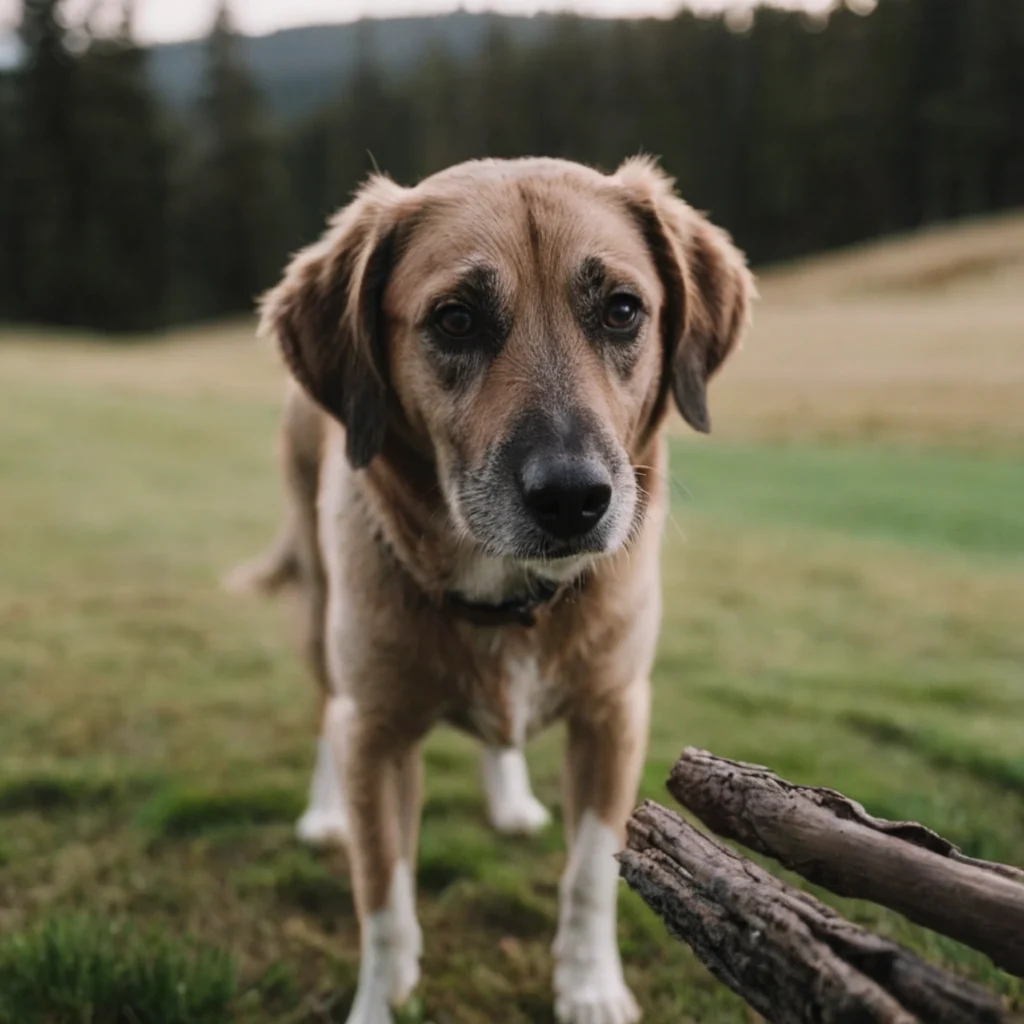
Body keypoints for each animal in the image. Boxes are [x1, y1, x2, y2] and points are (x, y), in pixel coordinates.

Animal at [226, 153, 753, 1024]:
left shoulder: (615, 716)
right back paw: (325, 810)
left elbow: (591, 873)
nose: (573, 498)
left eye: (621, 310)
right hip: (318, 611)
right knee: (327, 715)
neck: (509, 594)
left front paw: (590, 986)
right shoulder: (378, 737)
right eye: (456, 320)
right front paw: (380, 1002)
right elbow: (384, 899)